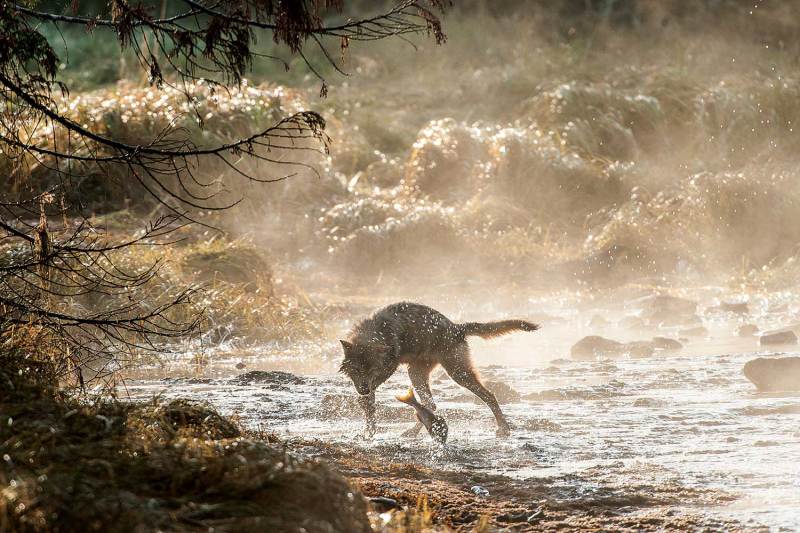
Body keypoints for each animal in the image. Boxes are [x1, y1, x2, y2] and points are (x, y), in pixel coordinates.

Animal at [339, 302, 539, 438]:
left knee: (489, 395)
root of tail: (457, 327)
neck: (376, 332)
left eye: (372, 370)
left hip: (458, 374)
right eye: (357, 370)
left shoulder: (388, 368)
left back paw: (503, 428)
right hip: (416, 374)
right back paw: (412, 432)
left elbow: (369, 398)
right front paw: (368, 431)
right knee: (430, 405)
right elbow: (369, 407)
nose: (363, 389)